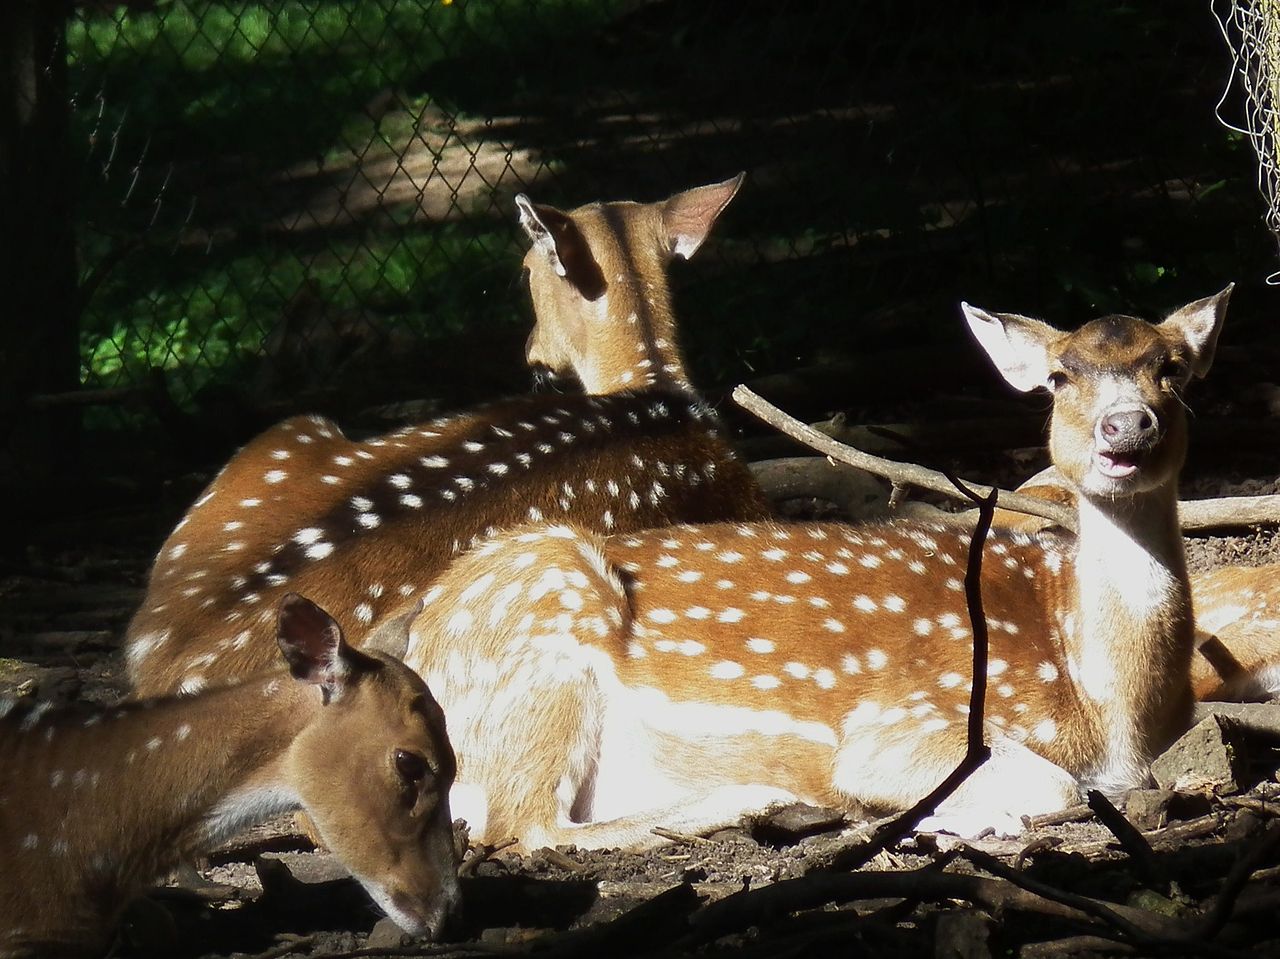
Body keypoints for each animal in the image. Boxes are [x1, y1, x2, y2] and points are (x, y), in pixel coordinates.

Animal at [394, 288, 1233, 839]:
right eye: (1060, 375)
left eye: (1173, 367)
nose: (1126, 425)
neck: (1109, 705)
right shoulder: (903, 722)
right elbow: (1055, 784)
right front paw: (954, 820)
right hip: (544, 621)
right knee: (523, 826)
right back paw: (757, 801)